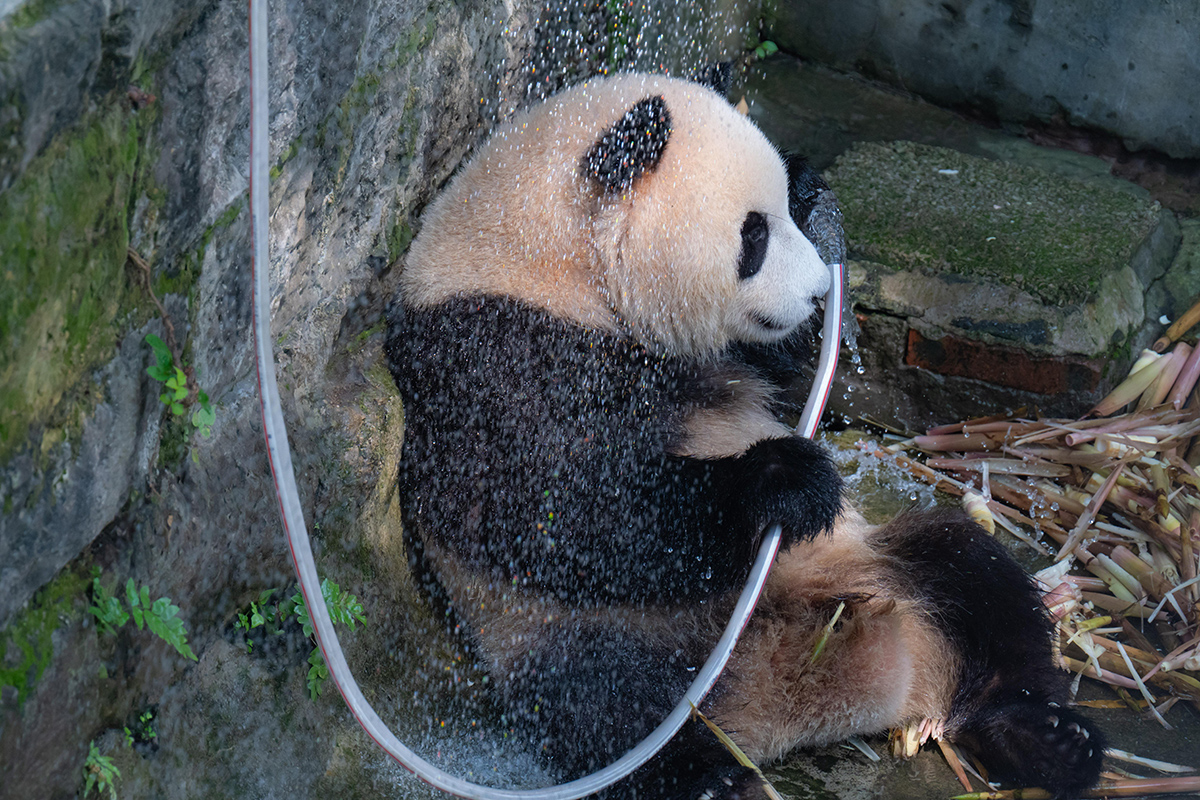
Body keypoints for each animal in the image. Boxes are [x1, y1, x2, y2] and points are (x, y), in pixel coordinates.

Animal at [384, 71, 1104, 796]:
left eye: (781, 211)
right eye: (751, 238)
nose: (817, 292)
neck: (547, 262)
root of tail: (797, 704)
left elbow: (783, 371)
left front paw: (816, 195)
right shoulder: (491, 351)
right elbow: (542, 514)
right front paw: (783, 480)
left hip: (875, 560)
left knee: (976, 578)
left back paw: (1050, 740)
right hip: (582, 639)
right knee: (604, 707)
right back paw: (718, 778)